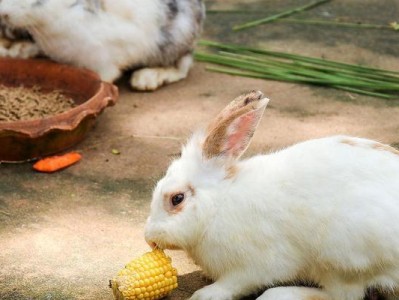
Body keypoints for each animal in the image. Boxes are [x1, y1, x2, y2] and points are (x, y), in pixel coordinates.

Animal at [0, 0, 206, 90]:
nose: (3, 12)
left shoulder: (102, 59)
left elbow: (104, 77)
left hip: (176, 39)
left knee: (182, 66)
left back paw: (146, 79)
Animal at [145, 89, 399, 300]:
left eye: (177, 198)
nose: (149, 237)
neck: (218, 205)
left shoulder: (255, 265)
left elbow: (236, 283)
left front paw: (205, 294)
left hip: (340, 256)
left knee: (343, 295)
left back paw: (281, 294)